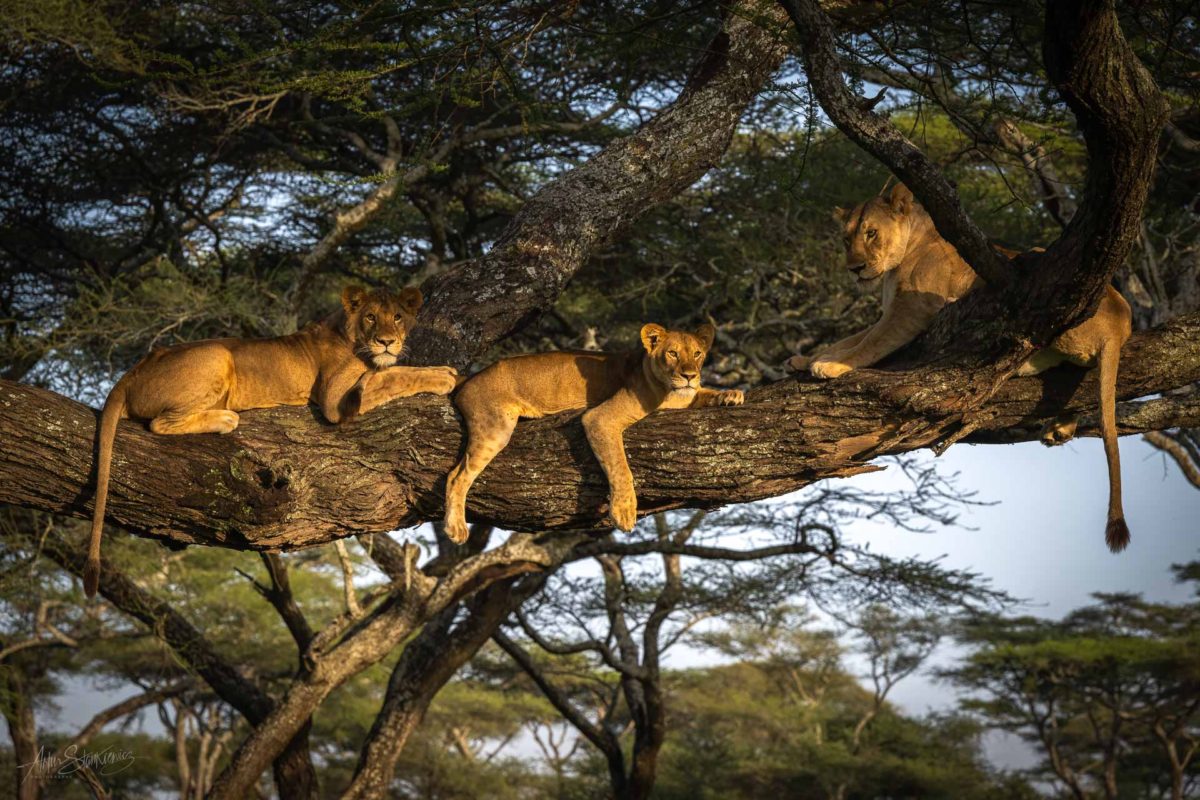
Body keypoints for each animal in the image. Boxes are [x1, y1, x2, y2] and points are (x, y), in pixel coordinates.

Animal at [85, 286, 458, 594]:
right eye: (370, 317)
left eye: (397, 317)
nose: (386, 341)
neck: (349, 334)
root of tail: (133, 370)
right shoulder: (336, 398)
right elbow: (395, 375)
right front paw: (444, 376)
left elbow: (393, 371)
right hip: (217, 353)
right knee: (160, 423)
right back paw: (225, 419)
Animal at [444, 321, 739, 542]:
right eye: (673, 354)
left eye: (697, 354)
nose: (690, 375)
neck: (669, 390)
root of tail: (472, 377)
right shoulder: (600, 418)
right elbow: (620, 467)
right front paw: (623, 510)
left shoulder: (685, 398)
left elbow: (702, 393)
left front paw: (730, 395)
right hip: (496, 427)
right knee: (455, 476)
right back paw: (456, 527)